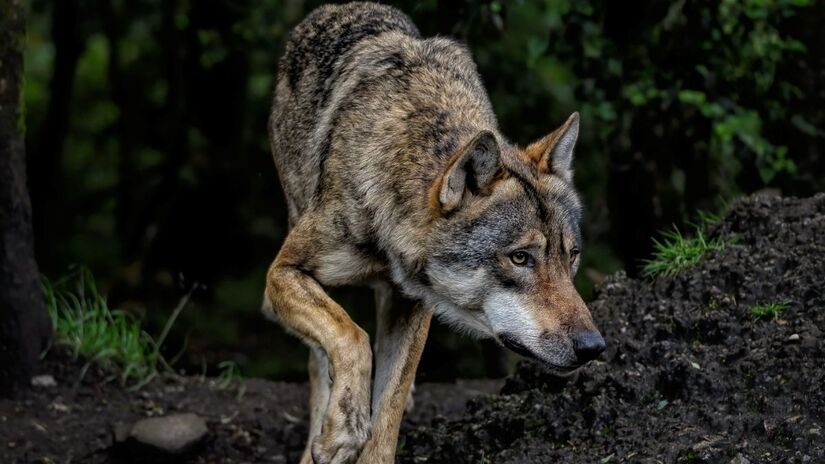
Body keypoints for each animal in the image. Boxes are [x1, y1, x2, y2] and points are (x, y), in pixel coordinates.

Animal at [262, 2, 605, 463]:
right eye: (520, 258)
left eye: (571, 257)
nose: (593, 347)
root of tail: (335, 10)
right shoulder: (282, 274)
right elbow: (351, 336)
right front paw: (342, 430)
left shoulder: (413, 303)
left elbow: (388, 410)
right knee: (322, 360)